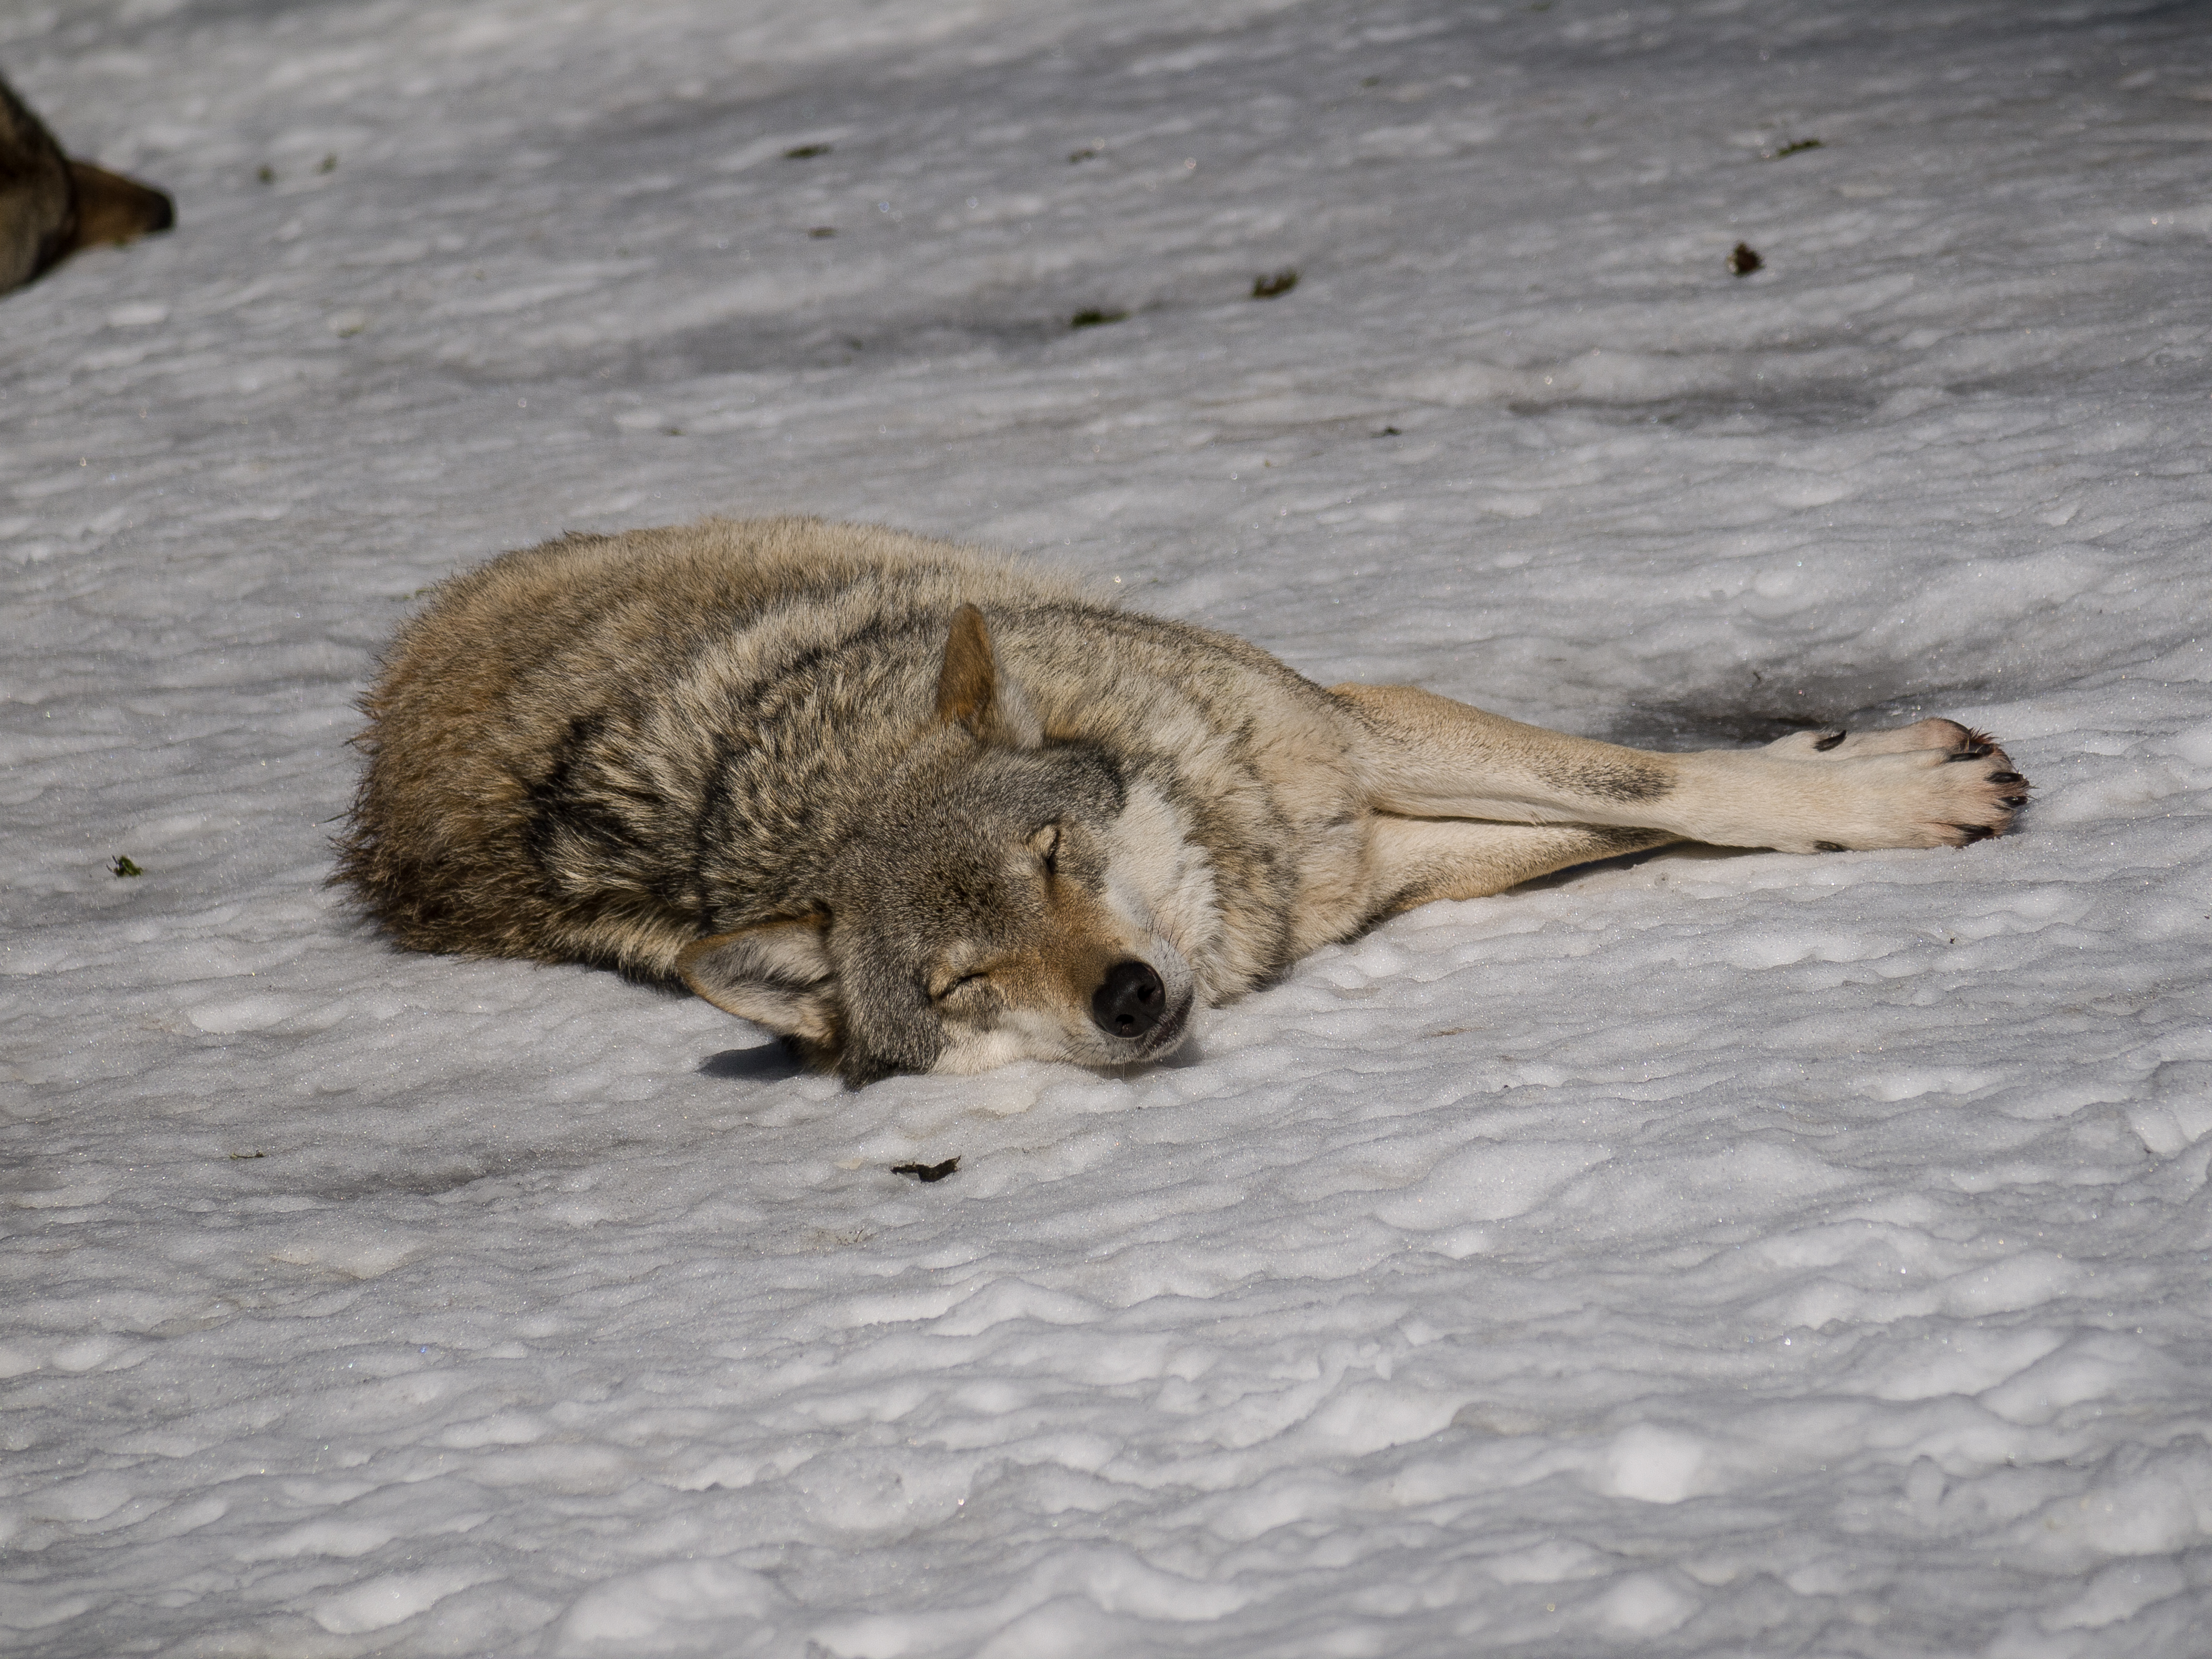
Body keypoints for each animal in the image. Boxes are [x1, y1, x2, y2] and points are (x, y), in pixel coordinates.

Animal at [336, 522, 2026, 1093]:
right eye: (967, 979)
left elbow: (1656, 782)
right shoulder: (1368, 842)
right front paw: (1884, 786)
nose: (1132, 1000)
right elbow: (1648, 810)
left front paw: (1877, 779)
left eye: (1051, 853)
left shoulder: (1350, 750)